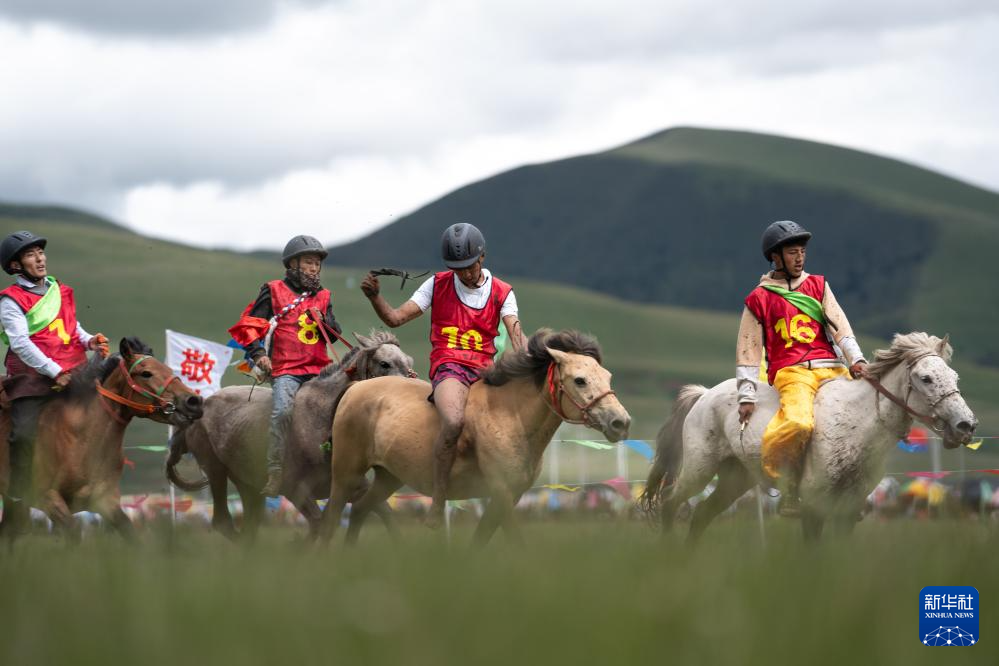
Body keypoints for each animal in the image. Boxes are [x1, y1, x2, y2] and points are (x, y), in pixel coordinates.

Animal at [0, 337, 204, 542]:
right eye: (146, 373)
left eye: (168, 369)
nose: (194, 401)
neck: (81, 442)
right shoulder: (48, 498)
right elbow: (73, 533)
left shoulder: (106, 501)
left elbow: (131, 534)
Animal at [165, 330, 414, 540]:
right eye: (384, 363)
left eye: (409, 362)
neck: (321, 423)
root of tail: (201, 405)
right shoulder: (298, 491)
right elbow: (320, 524)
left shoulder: (355, 488)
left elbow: (386, 518)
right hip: (215, 469)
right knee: (224, 522)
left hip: (249, 486)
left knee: (248, 527)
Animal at [318, 328, 632, 547]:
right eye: (580, 380)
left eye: (607, 376)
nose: (621, 422)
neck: (510, 416)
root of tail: (356, 388)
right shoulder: (502, 492)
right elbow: (517, 541)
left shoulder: (508, 496)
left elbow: (481, 540)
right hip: (346, 474)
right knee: (331, 518)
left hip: (389, 477)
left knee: (359, 510)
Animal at [641, 332, 978, 541]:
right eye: (926, 378)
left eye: (954, 376)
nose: (966, 425)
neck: (858, 424)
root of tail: (703, 395)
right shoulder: (814, 504)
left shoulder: (848, 508)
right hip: (699, 470)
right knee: (670, 503)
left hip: (736, 479)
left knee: (701, 515)